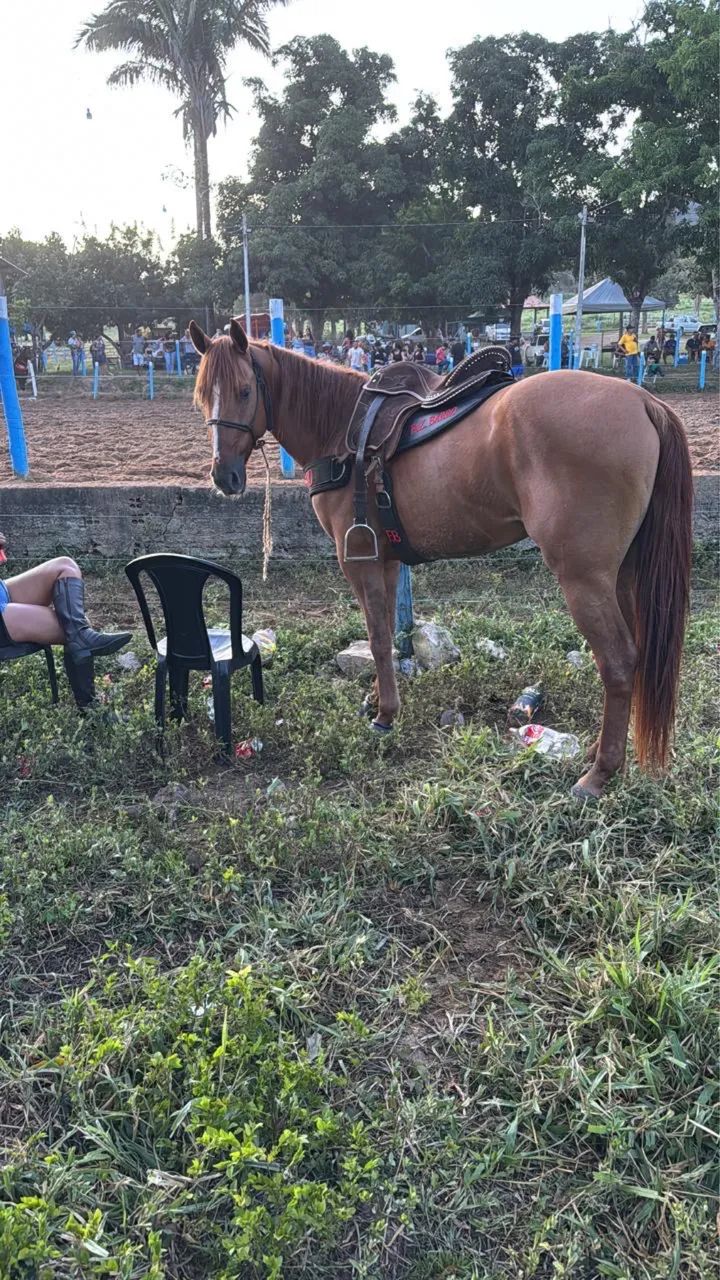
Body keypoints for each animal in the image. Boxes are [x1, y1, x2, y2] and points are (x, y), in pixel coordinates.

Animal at [189, 318, 693, 801]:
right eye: (201, 395)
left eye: (245, 391)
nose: (224, 476)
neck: (338, 428)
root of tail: (642, 402)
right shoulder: (387, 560)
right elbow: (388, 638)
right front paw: (379, 699)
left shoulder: (359, 561)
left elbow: (377, 639)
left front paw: (385, 715)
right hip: (621, 575)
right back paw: (597, 751)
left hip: (584, 579)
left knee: (618, 661)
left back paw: (599, 773)